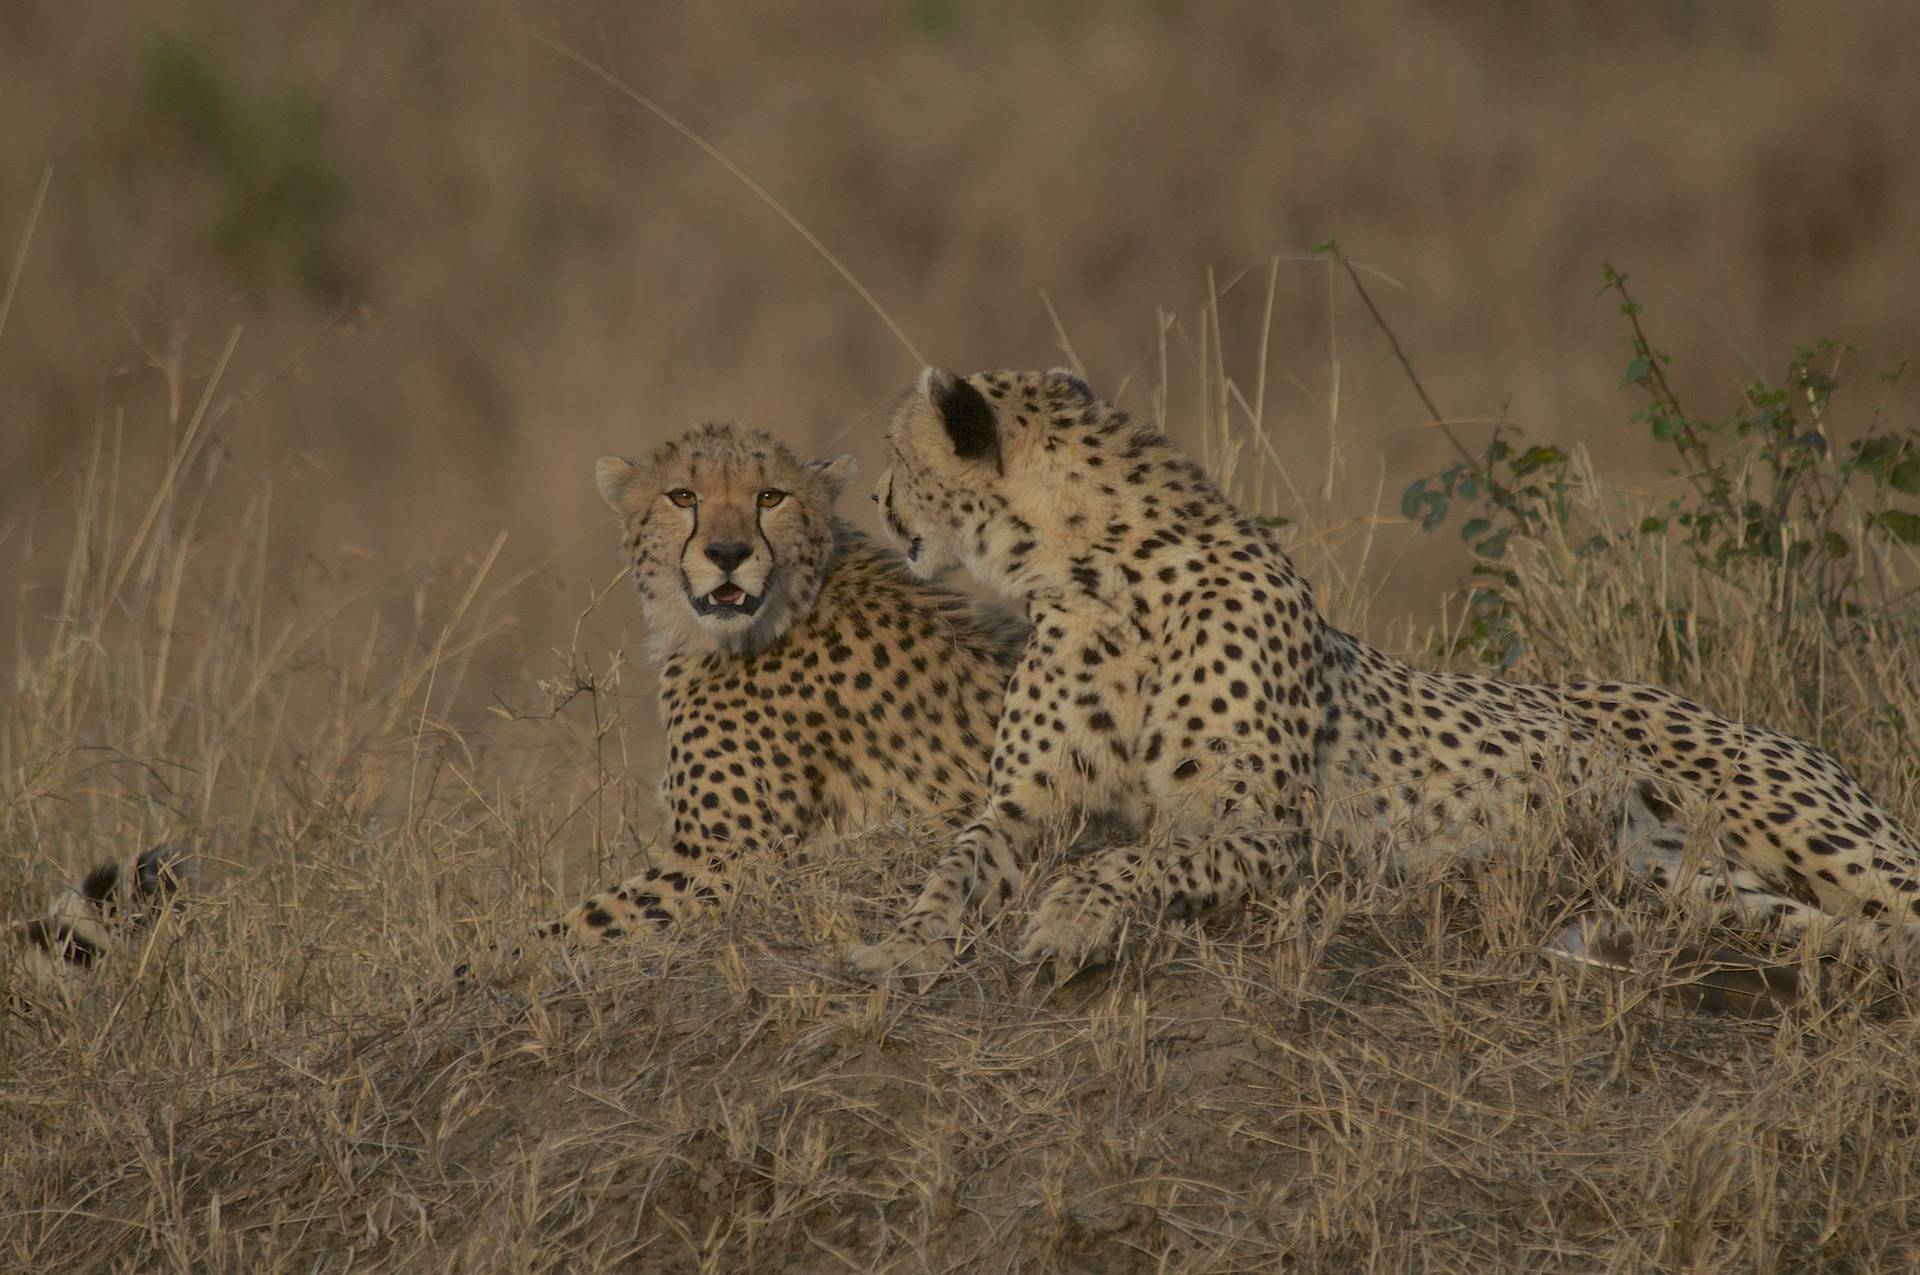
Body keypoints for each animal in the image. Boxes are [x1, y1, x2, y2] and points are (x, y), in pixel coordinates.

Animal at [848, 368, 1920, 975]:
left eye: (900, 447)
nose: (878, 494)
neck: (1101, 571)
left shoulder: (1269, 826)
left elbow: (1135, 857)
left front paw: (1071, 917)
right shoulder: (1023, 806)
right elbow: (957, 860)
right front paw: (907, 940)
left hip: (1808, 829)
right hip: (1684, 874)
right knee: (1822, 926)